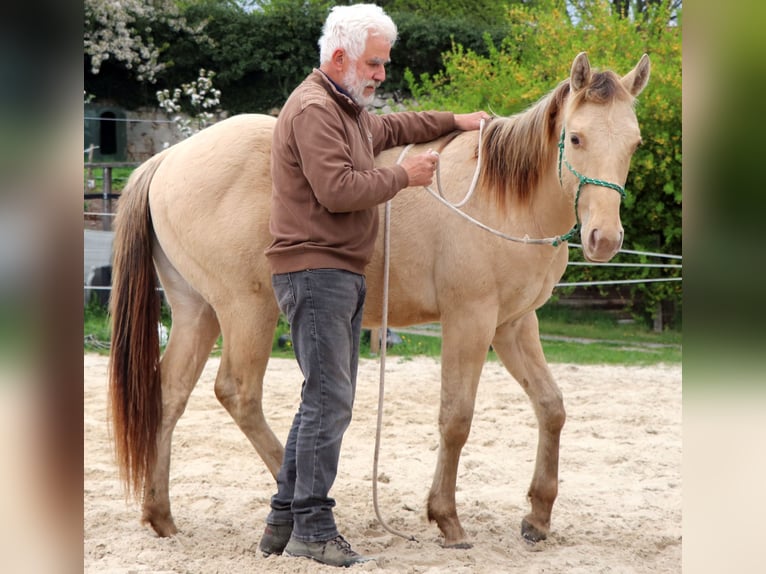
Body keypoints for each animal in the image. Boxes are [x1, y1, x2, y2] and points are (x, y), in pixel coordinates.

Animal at [108, 52, 650, 549]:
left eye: (634, 143)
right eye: (576, 138)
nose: (605, 239)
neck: (505, 199)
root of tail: (166, 159)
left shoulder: (514, 325)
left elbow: (551, 407)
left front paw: (538, 517)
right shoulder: (470, 320)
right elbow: (456, 418)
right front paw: (446, 518)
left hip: (197, 313)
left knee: (169, 395)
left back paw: (160, 516)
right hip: (248, 311)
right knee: (238, 394)